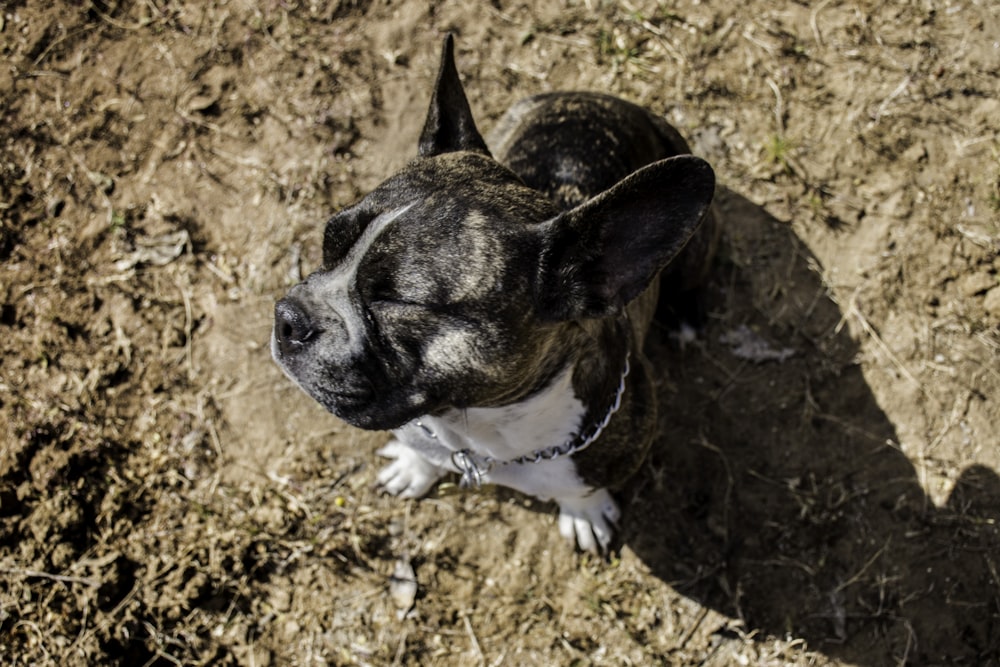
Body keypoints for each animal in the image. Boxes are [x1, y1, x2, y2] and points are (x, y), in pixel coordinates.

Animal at [270, 35, 716, 552]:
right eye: (328, 243)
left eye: (396, 301)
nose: (288, 316)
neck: (482, 432)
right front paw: (415, 465)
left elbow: (582, 488)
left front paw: (583, 512)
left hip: (698, 242)